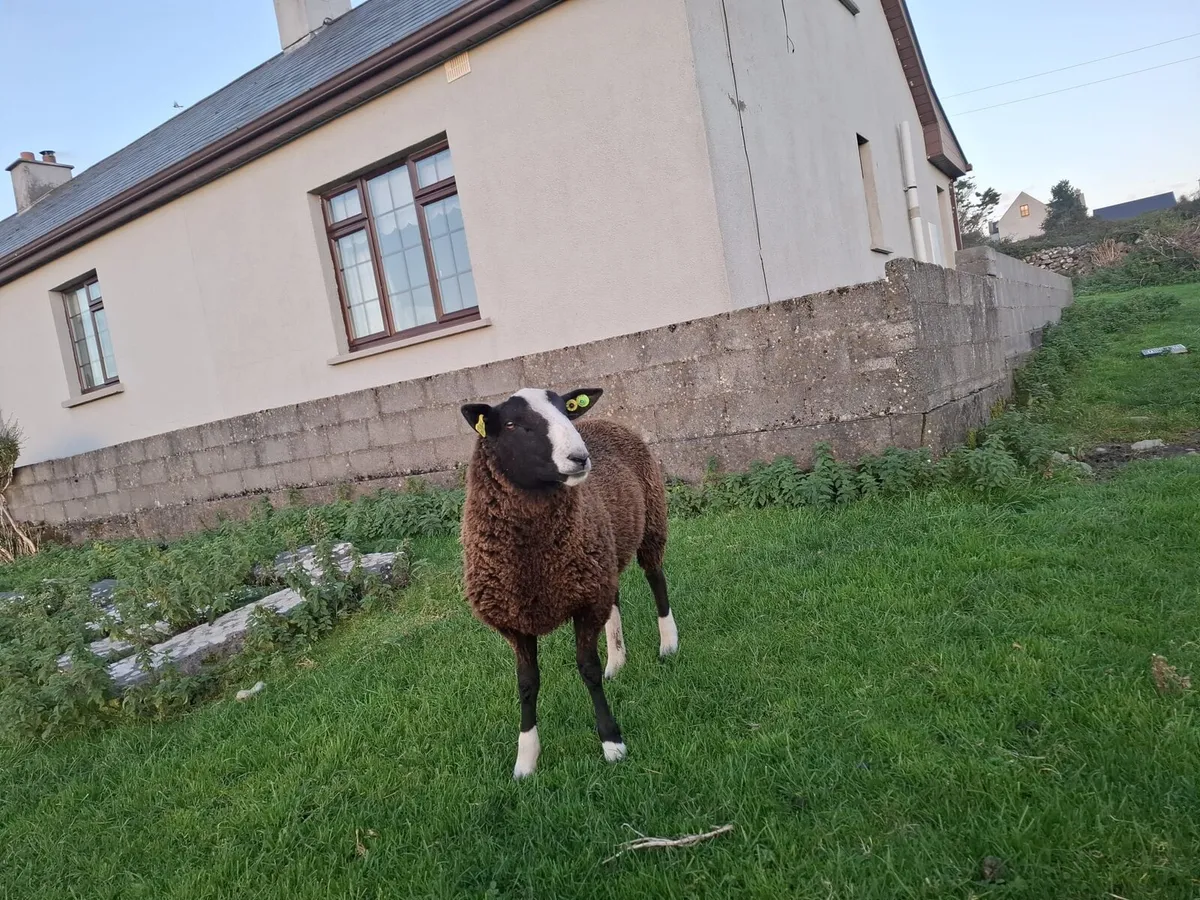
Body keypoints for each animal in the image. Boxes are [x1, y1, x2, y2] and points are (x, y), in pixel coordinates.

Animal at [459, 387, 678, 778]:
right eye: (512, 424)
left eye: (565, 409)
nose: (580, 458)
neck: (534, 564)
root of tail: (602, 420)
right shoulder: (516, 622)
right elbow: (526, 685)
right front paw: (525, 760)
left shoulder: (585, 603)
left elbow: (587, 670)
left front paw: (612, 742)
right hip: (602, 557)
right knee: (615, 598)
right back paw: (617, 662)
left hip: (651, 519)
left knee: (656, 578)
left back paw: (669, 643)